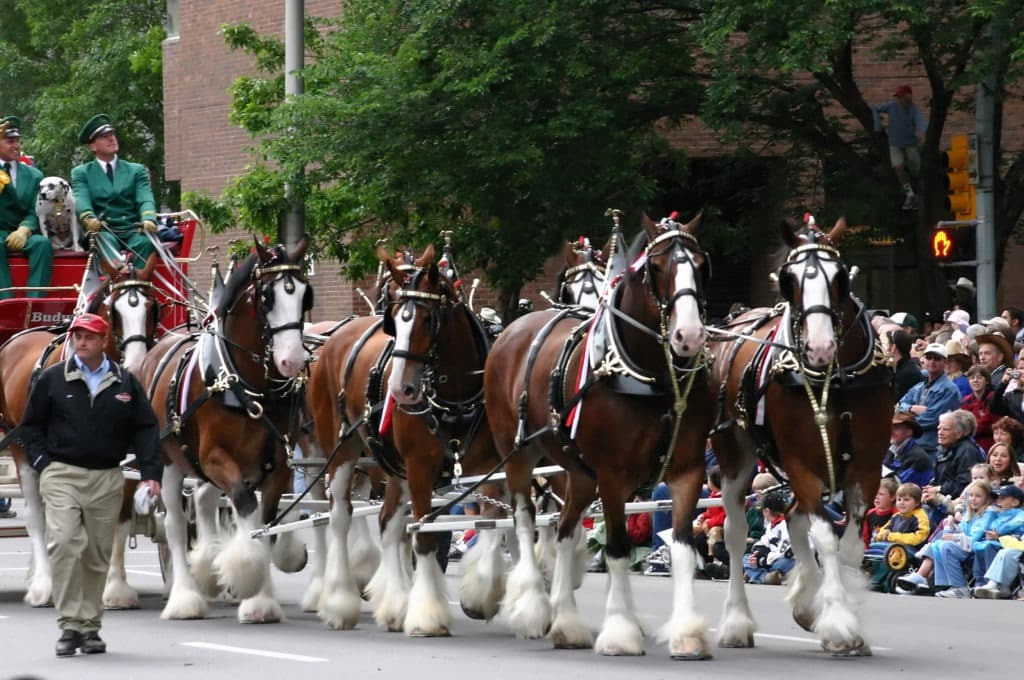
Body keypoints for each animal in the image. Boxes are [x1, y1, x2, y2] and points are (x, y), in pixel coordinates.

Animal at [138, 238, 309, 622]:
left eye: (306, 296)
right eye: (267, 297)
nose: (292, 360)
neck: (248, 386)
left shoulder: (278, 467)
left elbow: (266, 524)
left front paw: (261, 601)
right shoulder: (215, 457)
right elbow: (245, 505)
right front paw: (246, 576)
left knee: (203, 499)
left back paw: (206, 567)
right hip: (170, 461)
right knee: (174, 524)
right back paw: (184, 597)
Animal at [483, 214, 716, 659]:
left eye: (700, 264)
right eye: (654, 268)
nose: (689, 336)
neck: (653, 378)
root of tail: (512, 330)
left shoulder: (687, 469)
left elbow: (680, 545)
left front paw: (686, 633)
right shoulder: (612, 474)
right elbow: (618, 547)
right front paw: (621, 631)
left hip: (576, 471)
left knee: (564, 529)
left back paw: (565, 620)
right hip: (518, 455)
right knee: (524, 519)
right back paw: (533, 608)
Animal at [708, 220, 892, 655]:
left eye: (840, 278)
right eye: (788, 280)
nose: (820, 347)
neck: (835, 378)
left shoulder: (866, 466)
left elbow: (849, 545)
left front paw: (839, 615)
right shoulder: (801, 462)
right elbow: (824, 535)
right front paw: (839, 622)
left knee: (792, 517)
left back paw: (807, 603)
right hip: (735, 456)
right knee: (737, 533)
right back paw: (736, 623)